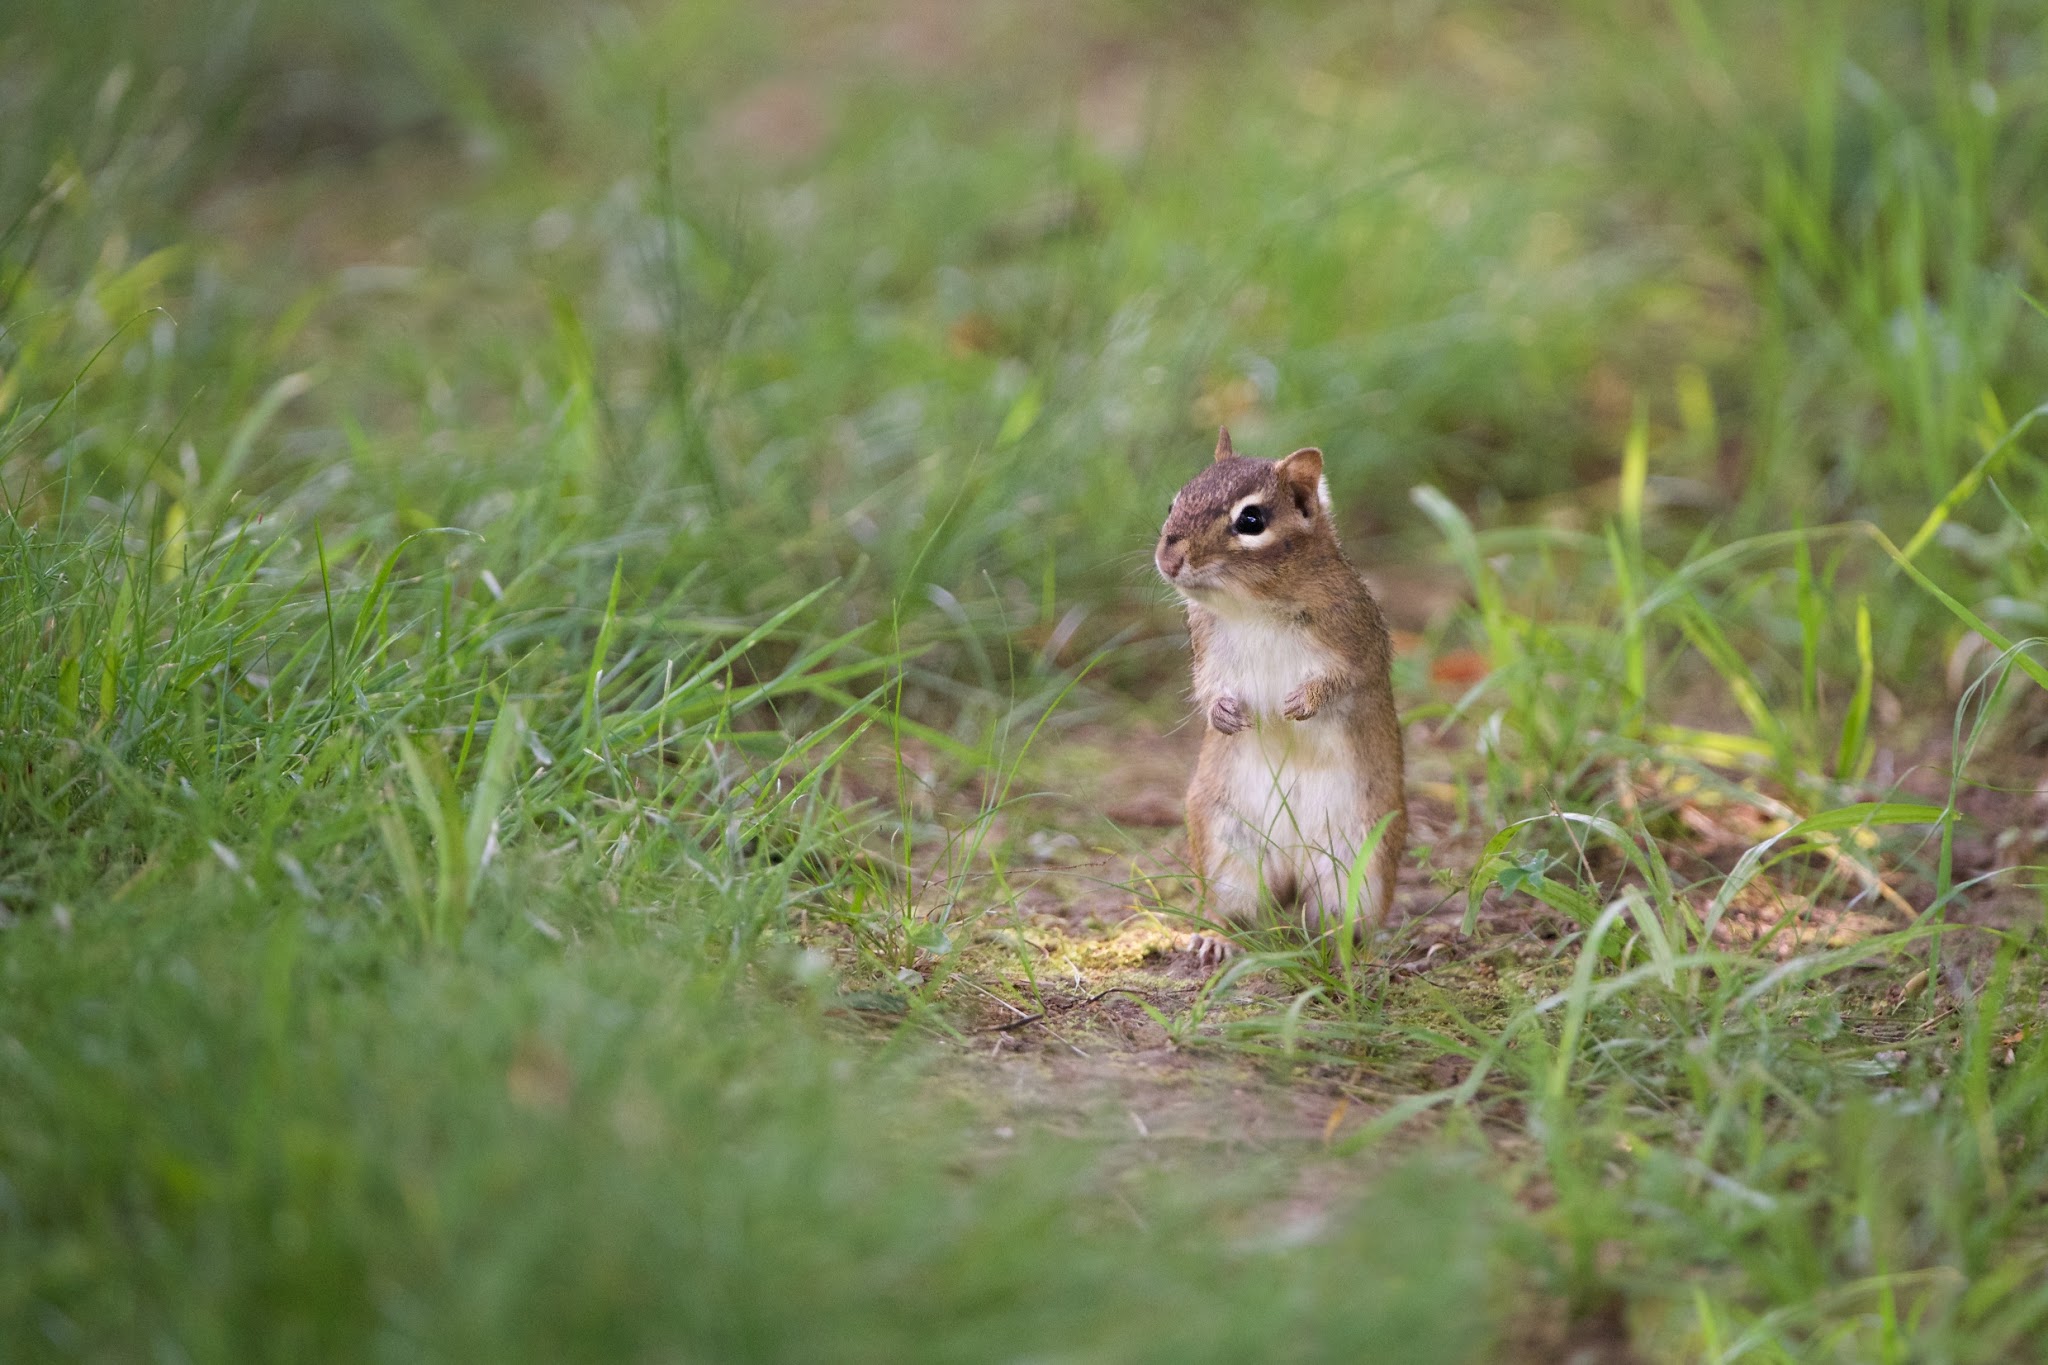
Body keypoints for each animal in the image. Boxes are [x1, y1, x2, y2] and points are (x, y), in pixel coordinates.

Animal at [1154, 428, 1407, 966]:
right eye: (1174, 503)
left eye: (1251, 520)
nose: (1168, 559)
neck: (1254, 606)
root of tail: (1291, 871)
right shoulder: (1205, 646)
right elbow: (1206, 685)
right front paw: (1222, 713)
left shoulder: (1357, 643)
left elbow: (1344, 681)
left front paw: (1302, 703)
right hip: (1225, 847)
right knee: (1235, 910)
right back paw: (1217, 938)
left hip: (1359, 865)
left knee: (1340, 920)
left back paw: (1348, 953)